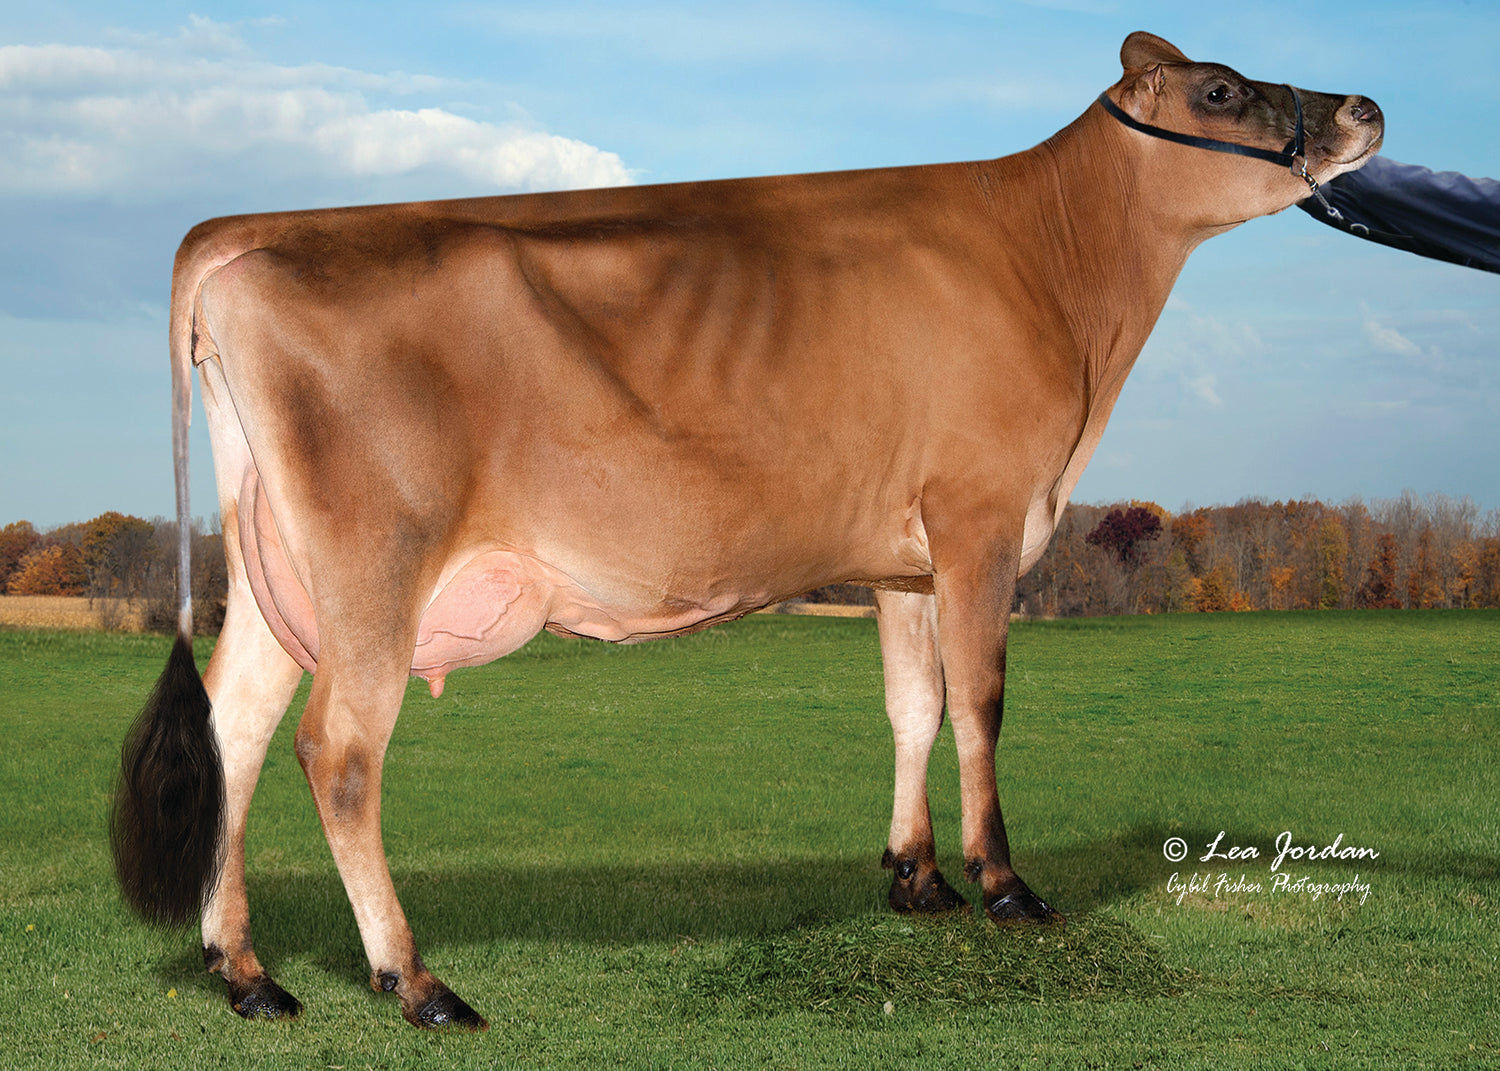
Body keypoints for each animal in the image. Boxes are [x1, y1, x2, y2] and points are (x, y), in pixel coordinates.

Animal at [110, 32, 1383, 1030]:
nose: (1365, 106)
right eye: (1221, 90)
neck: (1050, 263)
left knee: (235, 730)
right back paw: (413, 980)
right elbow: (980, 702)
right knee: (339, 749)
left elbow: (912, 704)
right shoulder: (979, 515)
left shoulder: (905, 556)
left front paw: (915, 879)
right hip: (377, 559)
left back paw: (245, 972)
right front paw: (1005, 887)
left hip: (277, 564)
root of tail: (248, 234)